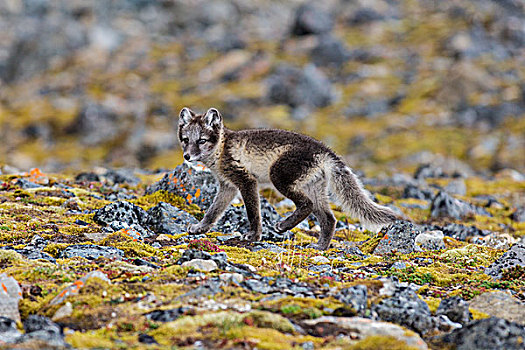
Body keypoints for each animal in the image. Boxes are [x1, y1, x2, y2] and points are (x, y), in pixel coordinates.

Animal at [177, 106, 398, 249]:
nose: (187, 156)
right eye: (185, 140)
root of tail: (325, 150)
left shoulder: (246, 180)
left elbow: (253, 213)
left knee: (307, 205)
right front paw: (199, 229)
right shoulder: (227, 186)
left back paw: (283, 226)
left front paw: (254, 235)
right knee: (329, 218)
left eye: (202, 140)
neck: (221, 149)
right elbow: (213, 212)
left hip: (279, 177)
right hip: (313, 186)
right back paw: (320, 247)